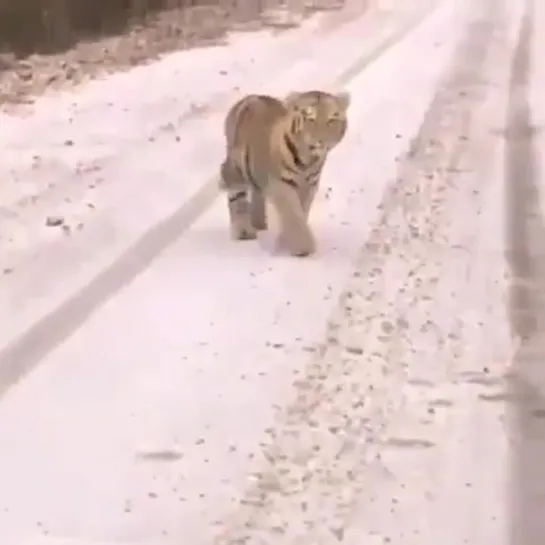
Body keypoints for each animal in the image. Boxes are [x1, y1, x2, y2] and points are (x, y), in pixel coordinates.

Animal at [217, 90, 348, 258]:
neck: (308, 161)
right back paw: (244, 231)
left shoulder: (309, 186)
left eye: (332, 119)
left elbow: (301, 212)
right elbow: (293, 214)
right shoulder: (281, 184)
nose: (320, 142)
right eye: (309, 118)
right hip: (236, 168)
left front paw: (285, 241)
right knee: (236, 195)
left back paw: (259, 223)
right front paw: (302, 247)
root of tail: (250, 97)